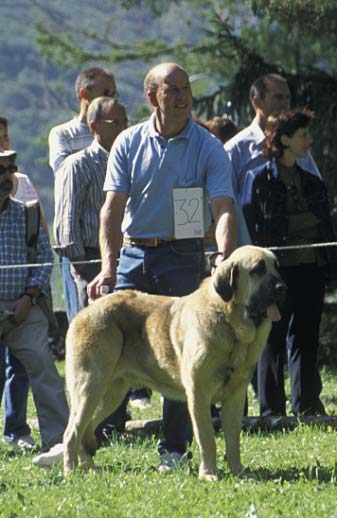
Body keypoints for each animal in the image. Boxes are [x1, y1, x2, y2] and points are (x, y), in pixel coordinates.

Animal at [62, 246, 284, 482]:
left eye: (276, 266)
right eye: (258, 269)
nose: (283, 288)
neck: (230, 322)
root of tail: (84, 312)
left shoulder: (235, 396)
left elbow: (233, 440)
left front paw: (239, 471)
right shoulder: (199, 396)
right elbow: (207, 439)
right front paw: (208, 474)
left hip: (110, 394)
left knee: (86, 429)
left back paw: (88, 468)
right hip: (90, 388)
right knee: (71, 432)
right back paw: (70, 472)